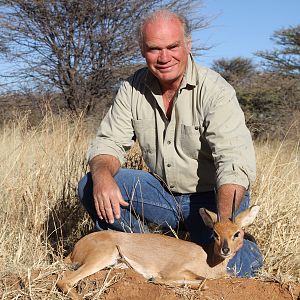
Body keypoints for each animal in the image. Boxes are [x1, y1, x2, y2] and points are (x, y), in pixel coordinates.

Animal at [57, 198, 258, 298]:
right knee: (64, 281)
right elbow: (201, 282)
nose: (226, 250)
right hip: (101, 257)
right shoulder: (172, 272)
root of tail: (77, 247)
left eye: (237, 233)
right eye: (215, 233)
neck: (208, 260)